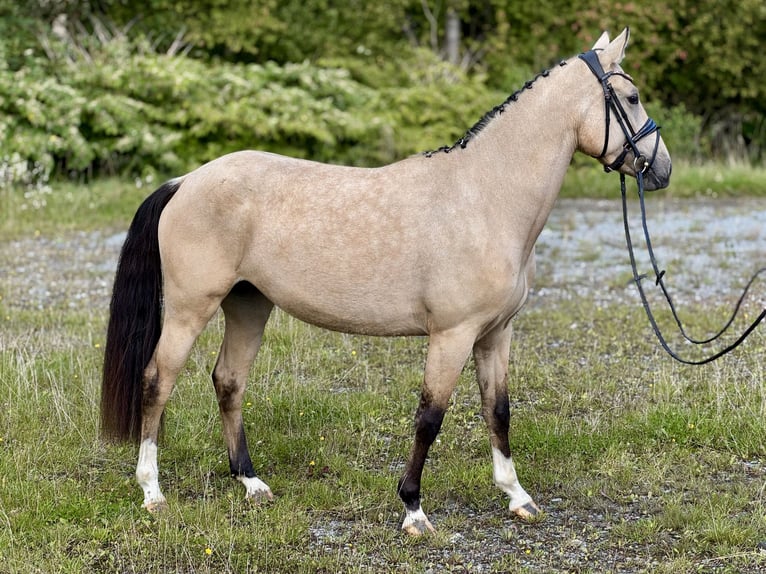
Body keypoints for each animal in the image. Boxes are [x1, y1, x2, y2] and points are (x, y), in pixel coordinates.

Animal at [100, 29, 672, 536]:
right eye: (631, 97)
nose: (662, 169)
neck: (484, 196)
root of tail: (186, 182)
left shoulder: (495, 334)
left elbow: (498, 410)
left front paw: (517, 497)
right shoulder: (452, 336)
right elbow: (429, 418)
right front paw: (413, 509)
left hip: (248, 305)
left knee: (228, 381)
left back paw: (251, 483)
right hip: (190, 309)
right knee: (157, 381)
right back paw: (152, 491)